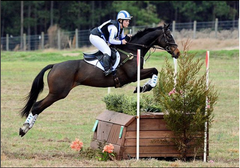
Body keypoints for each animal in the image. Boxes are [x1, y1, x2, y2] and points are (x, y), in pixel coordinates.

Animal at [19, 23, 180, 136]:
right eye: (169, 36)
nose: (177, 53)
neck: (132, 50)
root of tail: (55, 65)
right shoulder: (134, 75)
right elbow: (154, 70)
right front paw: (144, 87)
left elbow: (154, 71)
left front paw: (144, 87)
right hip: (58, 93)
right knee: (37, 106)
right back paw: (24, 129)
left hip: (57, 92)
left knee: (37, 106)